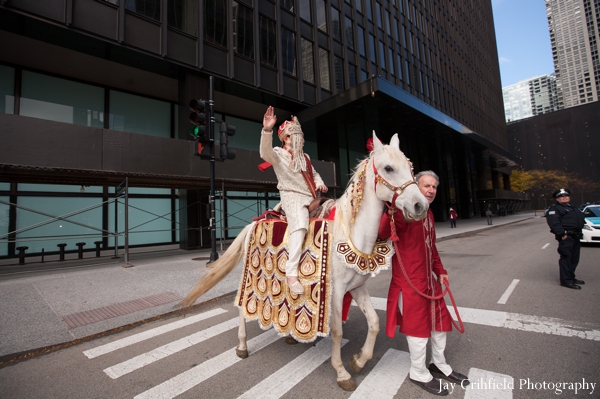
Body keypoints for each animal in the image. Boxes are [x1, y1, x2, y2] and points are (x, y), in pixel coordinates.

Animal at [178, 133, 426, 392]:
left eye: (410, 167)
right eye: (388, 168)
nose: (421, 205)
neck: (348, 231)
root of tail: (255, 222)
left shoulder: (357, 287)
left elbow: (375, 322)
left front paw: (359, 360)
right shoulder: (335, 292)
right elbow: (337, 331)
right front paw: (342, 373)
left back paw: (288, 336)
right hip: (251, 277)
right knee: (242, 308)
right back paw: (242, 346)